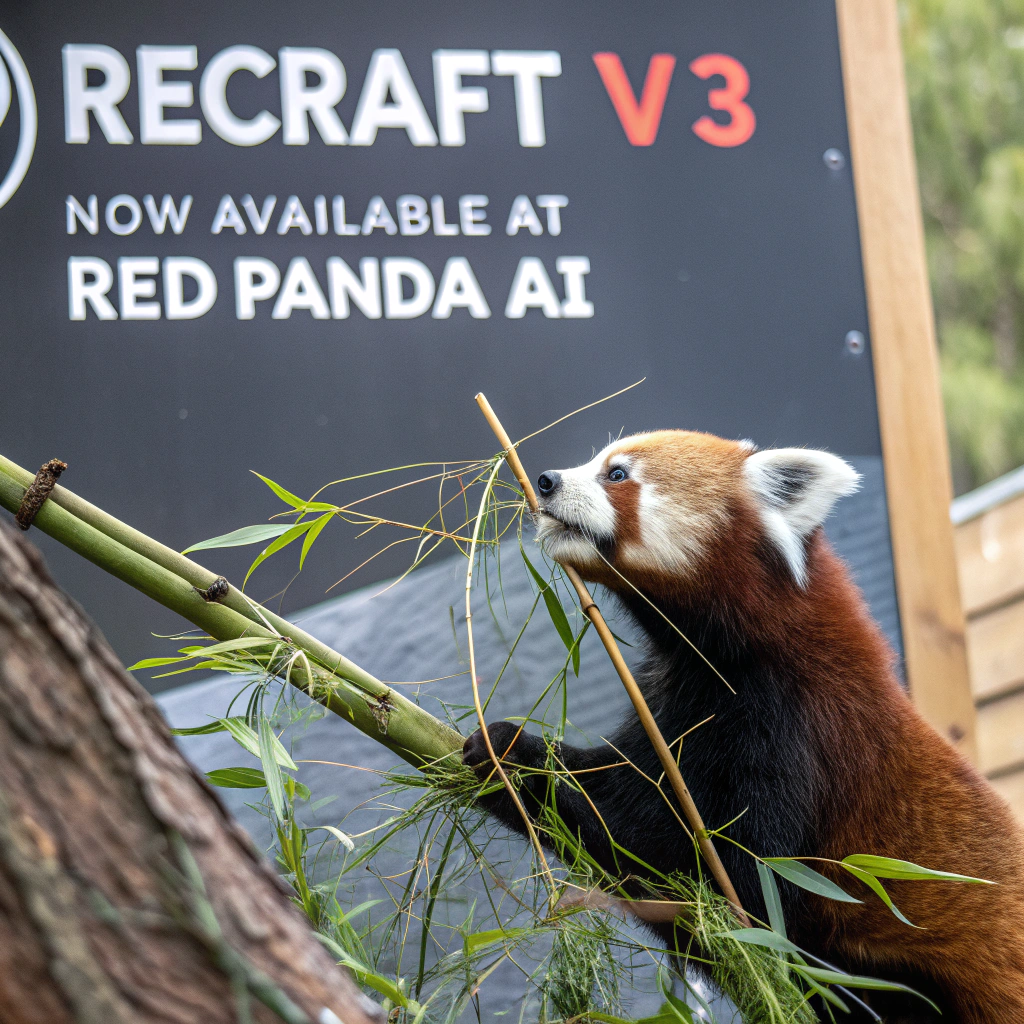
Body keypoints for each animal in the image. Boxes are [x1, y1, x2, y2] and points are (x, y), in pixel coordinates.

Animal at [463, 430, 1024, 1023]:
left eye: (616, 475)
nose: (546, 480)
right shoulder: (673, 705)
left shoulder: (796, 731)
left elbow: (714, 865)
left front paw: (517, 754)